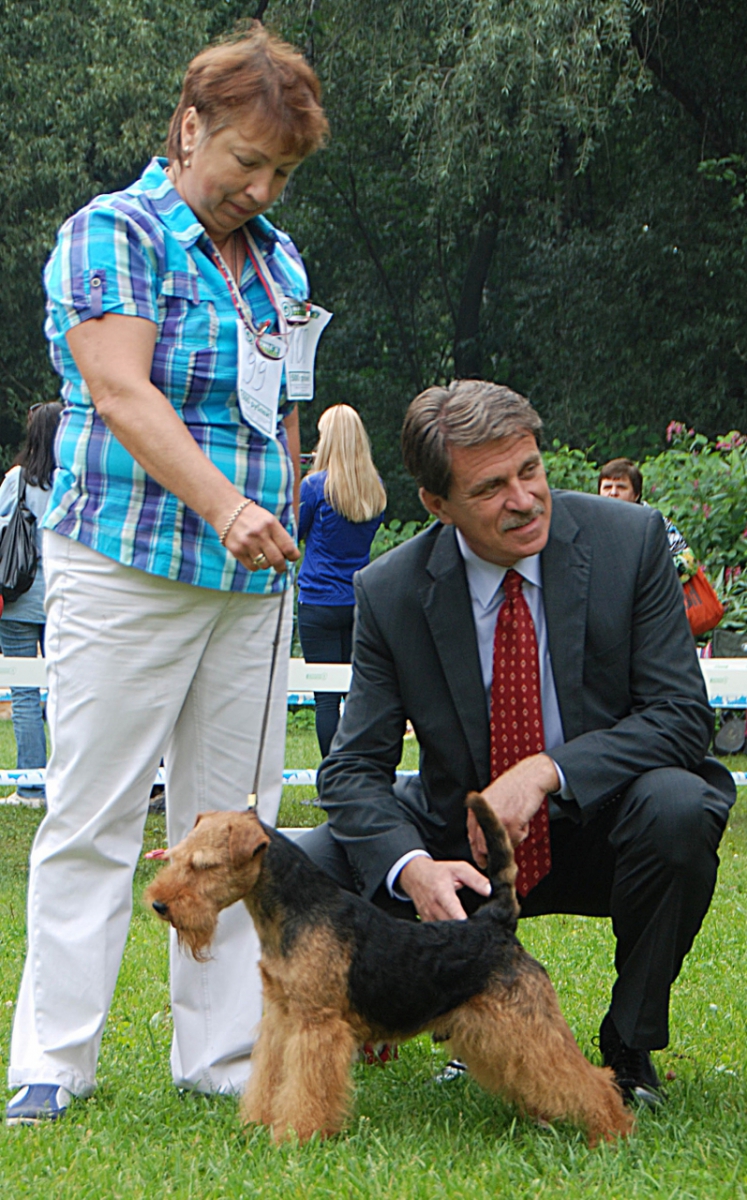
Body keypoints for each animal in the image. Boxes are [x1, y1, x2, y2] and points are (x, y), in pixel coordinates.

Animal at [144, 796, 634, 1142]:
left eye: (205, 865)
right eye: (176, 855)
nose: (159, 904)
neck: (295, 910)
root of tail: (496, 922)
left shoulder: (316, 1024)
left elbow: (305, 1085)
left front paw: (296, 1136)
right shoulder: (282, 1018)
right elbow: (269, 1077)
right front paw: (257, 1124)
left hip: (527, 1020)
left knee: (589, 1078)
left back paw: (612, 1129)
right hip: (493, 1030)